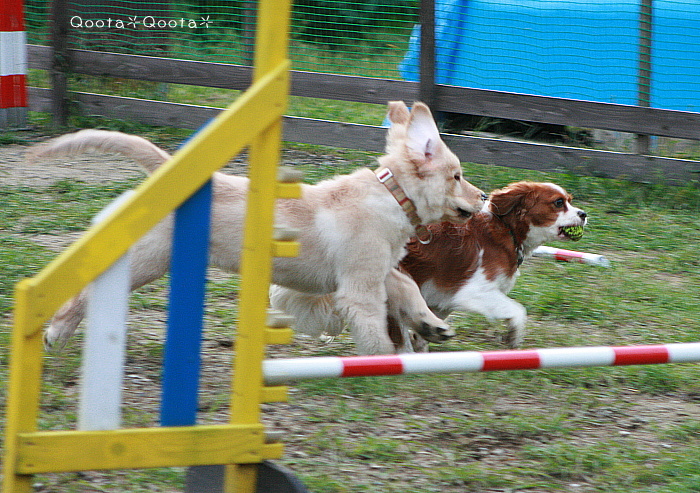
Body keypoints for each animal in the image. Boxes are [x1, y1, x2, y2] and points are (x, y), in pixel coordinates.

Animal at [35, 101, 484, 354]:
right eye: (457, 176)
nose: (482, 197)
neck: (392, 195)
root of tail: (167, 173)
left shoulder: (378, 271)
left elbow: (408, 288)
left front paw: (432, 325)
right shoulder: (360, 285)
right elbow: (374, 326)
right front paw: (383, 361)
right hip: (149, 258)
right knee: (85, 291)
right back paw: (56, 334)